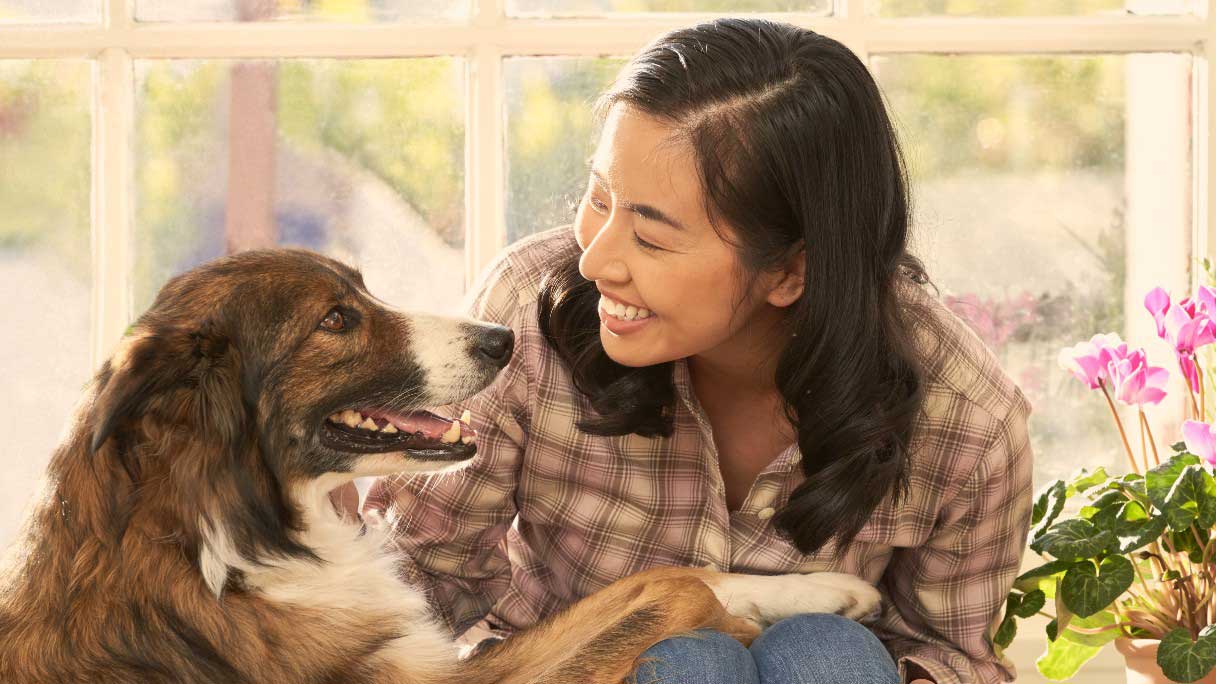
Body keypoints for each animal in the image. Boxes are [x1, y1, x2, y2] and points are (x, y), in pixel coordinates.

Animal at [0, 250, 875, 681]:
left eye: (361, 291)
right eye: (336, 320)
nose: (504, 339)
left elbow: (655, 579)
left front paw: (825, 589)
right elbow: (666, 595)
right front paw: (733, 617)